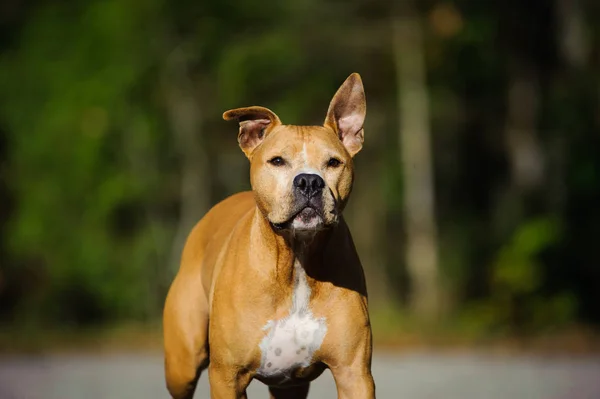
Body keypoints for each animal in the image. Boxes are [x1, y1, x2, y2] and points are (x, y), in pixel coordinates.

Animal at [162, 73, 372, 398]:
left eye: (334, 162)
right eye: (277, 161)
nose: (309, 181)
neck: (296, 261)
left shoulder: (354, 373)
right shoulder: (226, 377)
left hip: (290, 386)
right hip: (181, 364)